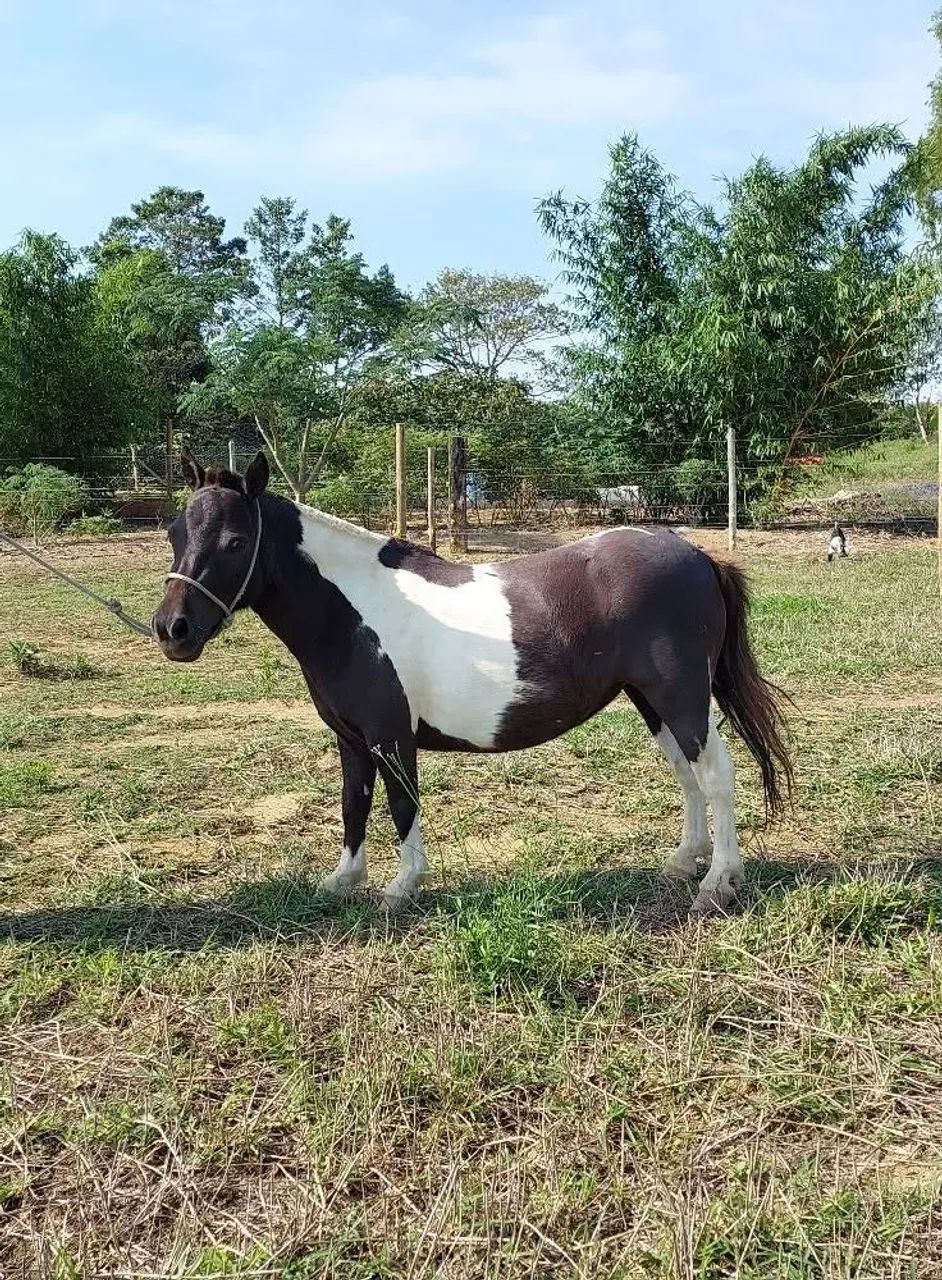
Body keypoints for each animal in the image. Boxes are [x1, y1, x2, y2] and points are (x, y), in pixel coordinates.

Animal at [152, 449, 791, 917]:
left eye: (236, 541)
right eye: (175, 532)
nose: (171, 629)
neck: (352, 614)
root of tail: (696, 554)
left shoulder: (391, 734)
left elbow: (400, 804)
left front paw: (401, 888)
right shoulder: (352, 738)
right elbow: (354, 804)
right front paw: (342, 881)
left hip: (681, 698)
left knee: (716, 775)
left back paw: (717, 883)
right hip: (651, 700)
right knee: (687, 774)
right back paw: (684, 863)